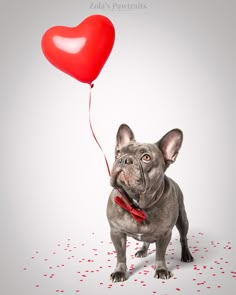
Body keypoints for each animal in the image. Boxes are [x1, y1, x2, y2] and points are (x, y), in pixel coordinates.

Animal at [107, 123, 194, 284]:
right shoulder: (116, 232)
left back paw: (186, 255)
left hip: (183, 219)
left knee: (183, 237)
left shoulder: (165, 234)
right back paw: (143, 250)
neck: (138, 205)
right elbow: (120, 255)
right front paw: (119, 272)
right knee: (146, 240)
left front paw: (161, 270)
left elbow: (160, 254)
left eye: (146, 158)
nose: (124, 159)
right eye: (118, 153)